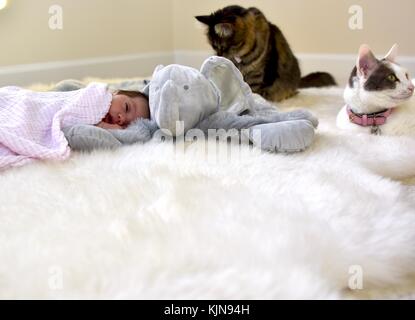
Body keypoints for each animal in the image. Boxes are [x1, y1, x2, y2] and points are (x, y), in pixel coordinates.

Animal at [197, 5, 336, 102]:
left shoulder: (258, 76)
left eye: (221, 47)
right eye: (214, 47)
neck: (241, 58)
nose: (218, 55)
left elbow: (253, 93)